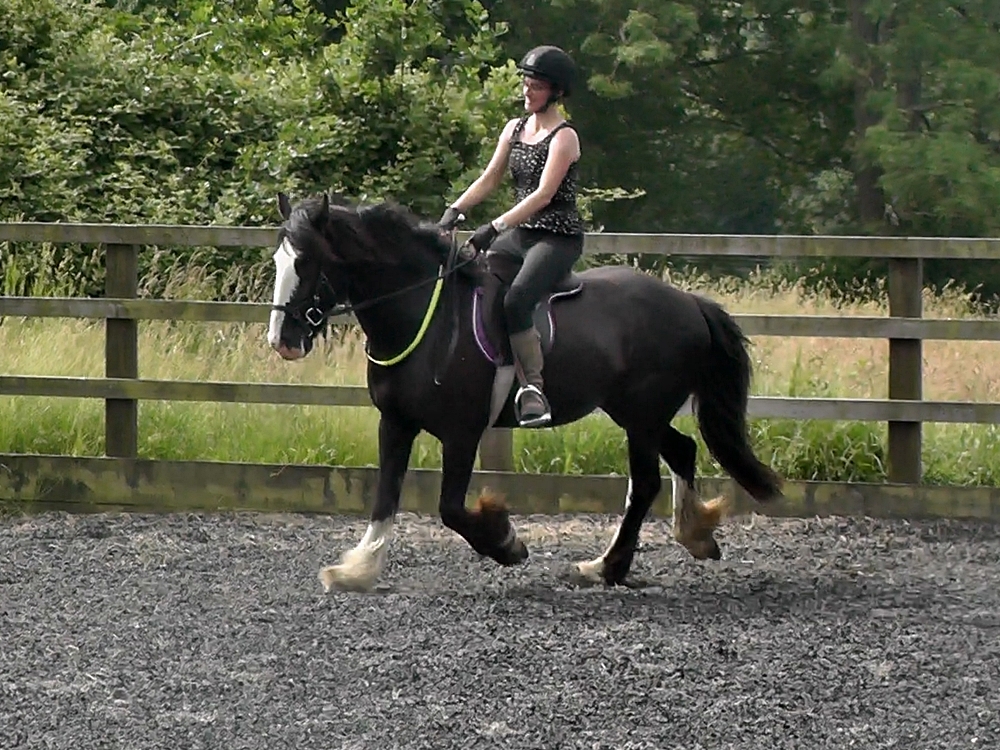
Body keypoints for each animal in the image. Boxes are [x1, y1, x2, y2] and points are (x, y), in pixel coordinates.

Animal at [267, 191, 783, 592]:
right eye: (277, 261)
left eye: (307, 263)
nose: (282, 341)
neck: (424, 317)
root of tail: (688, 302)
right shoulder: (395, 423)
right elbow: (385, 498)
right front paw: (357, 570)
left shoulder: (462, 432)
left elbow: (450, 508)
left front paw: (505, 542)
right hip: (636, 412)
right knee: (682, 450)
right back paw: (694, 533)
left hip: (641, 415)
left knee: (648, 482)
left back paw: (607, 567)